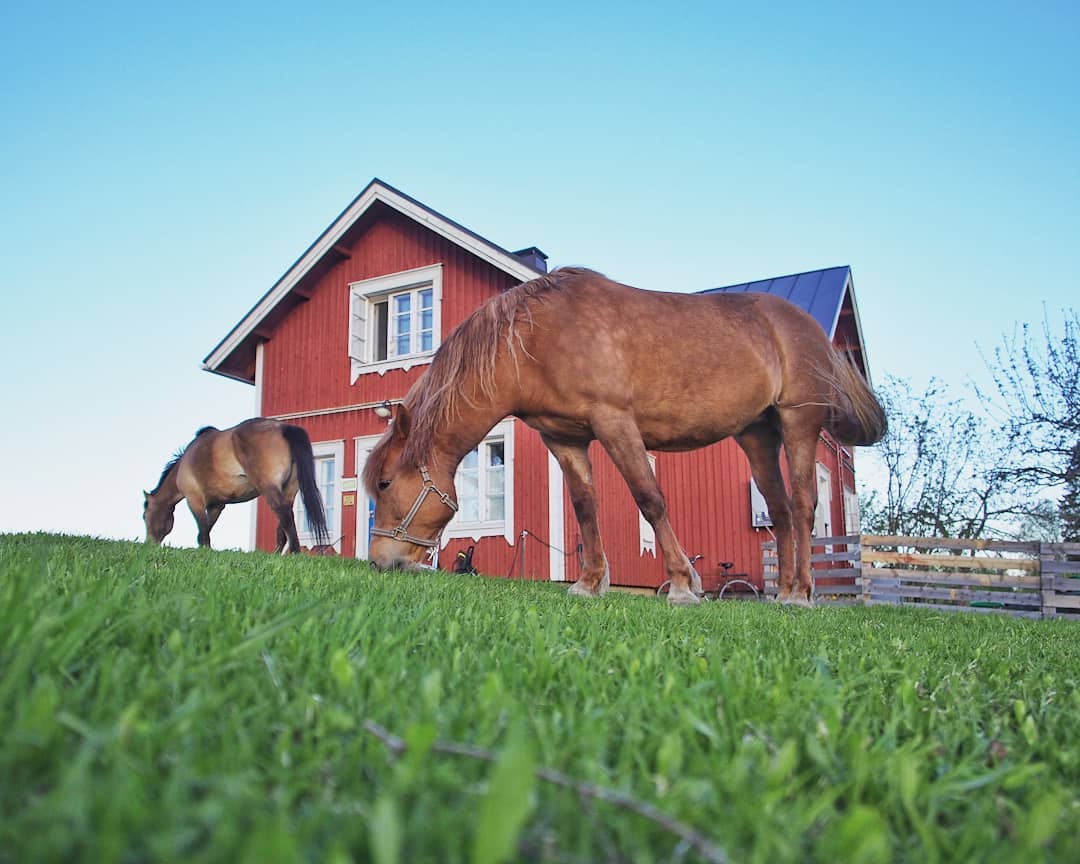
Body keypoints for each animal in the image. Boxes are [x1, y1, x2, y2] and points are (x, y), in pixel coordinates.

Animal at [143, 418, 330, 553]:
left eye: (145, 516)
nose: (149, 544)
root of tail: (283, 427)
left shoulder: (195, 501)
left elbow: (202, 532)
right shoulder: (216, 505)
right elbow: (207, 529)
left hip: (269, 487)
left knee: (282, 511)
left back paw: (294, 552)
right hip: (289, 489)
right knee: (285, 519)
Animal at [362, 267, 885, 606]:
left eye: (384, 483)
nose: (379, 561)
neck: (535, 339)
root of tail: (809, 330)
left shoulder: (615, 423)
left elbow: (649, 499)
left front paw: (684, 585)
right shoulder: (564, 439)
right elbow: (585, 507)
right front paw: (590, 583)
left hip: (798, 424)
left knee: (803, 507)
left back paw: (800, 595)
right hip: (757, 434)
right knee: (779, 511)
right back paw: (787, 593)